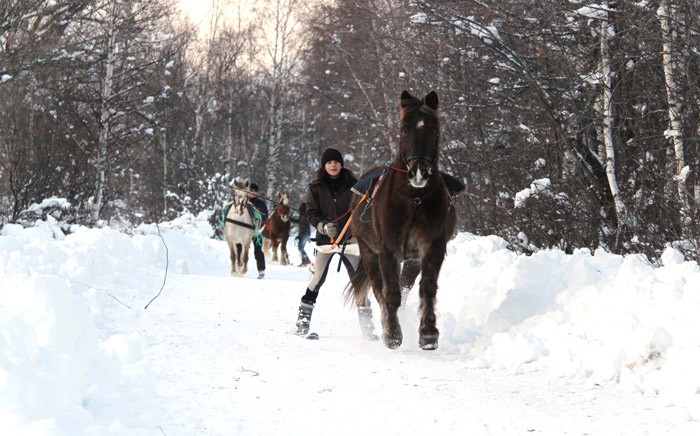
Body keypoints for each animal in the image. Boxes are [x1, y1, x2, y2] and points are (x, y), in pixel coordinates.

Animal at [346, 91, 456, 350]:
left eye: (434, 130)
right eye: (404, 129)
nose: (419, 172)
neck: (414, 199)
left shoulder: (432, 247)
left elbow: (427, 288)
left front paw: (428, 333)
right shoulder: (388, 249)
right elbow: (390, 293)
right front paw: (393, 334)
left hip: (411, 260)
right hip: (369, 252)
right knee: (380, 289)